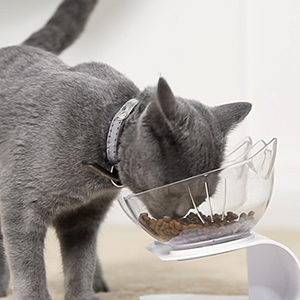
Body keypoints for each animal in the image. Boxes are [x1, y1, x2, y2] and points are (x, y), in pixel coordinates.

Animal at [0, 0, 252, 300]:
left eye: (203, 196)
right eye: (175, 191)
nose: (179, 217)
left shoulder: (85, 216)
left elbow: (80, 264)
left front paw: (83, 295)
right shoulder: (21, 208)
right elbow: (29, 268)